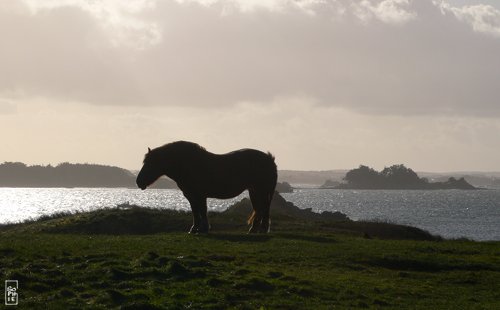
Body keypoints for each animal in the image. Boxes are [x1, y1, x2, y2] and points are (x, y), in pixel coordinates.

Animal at [137, 140, 278, 232]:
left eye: (150, 163)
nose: (138, 182)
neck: (188, 164)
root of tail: (269, 159)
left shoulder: (200, 195)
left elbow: (202, 210)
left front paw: (203, 228)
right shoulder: (191, 196)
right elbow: (195, 211)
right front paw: (194, 228)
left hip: (261, 191)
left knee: (264, 209)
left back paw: (261, 229)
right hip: (254, 191)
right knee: (259, 209)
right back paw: (255, 229)